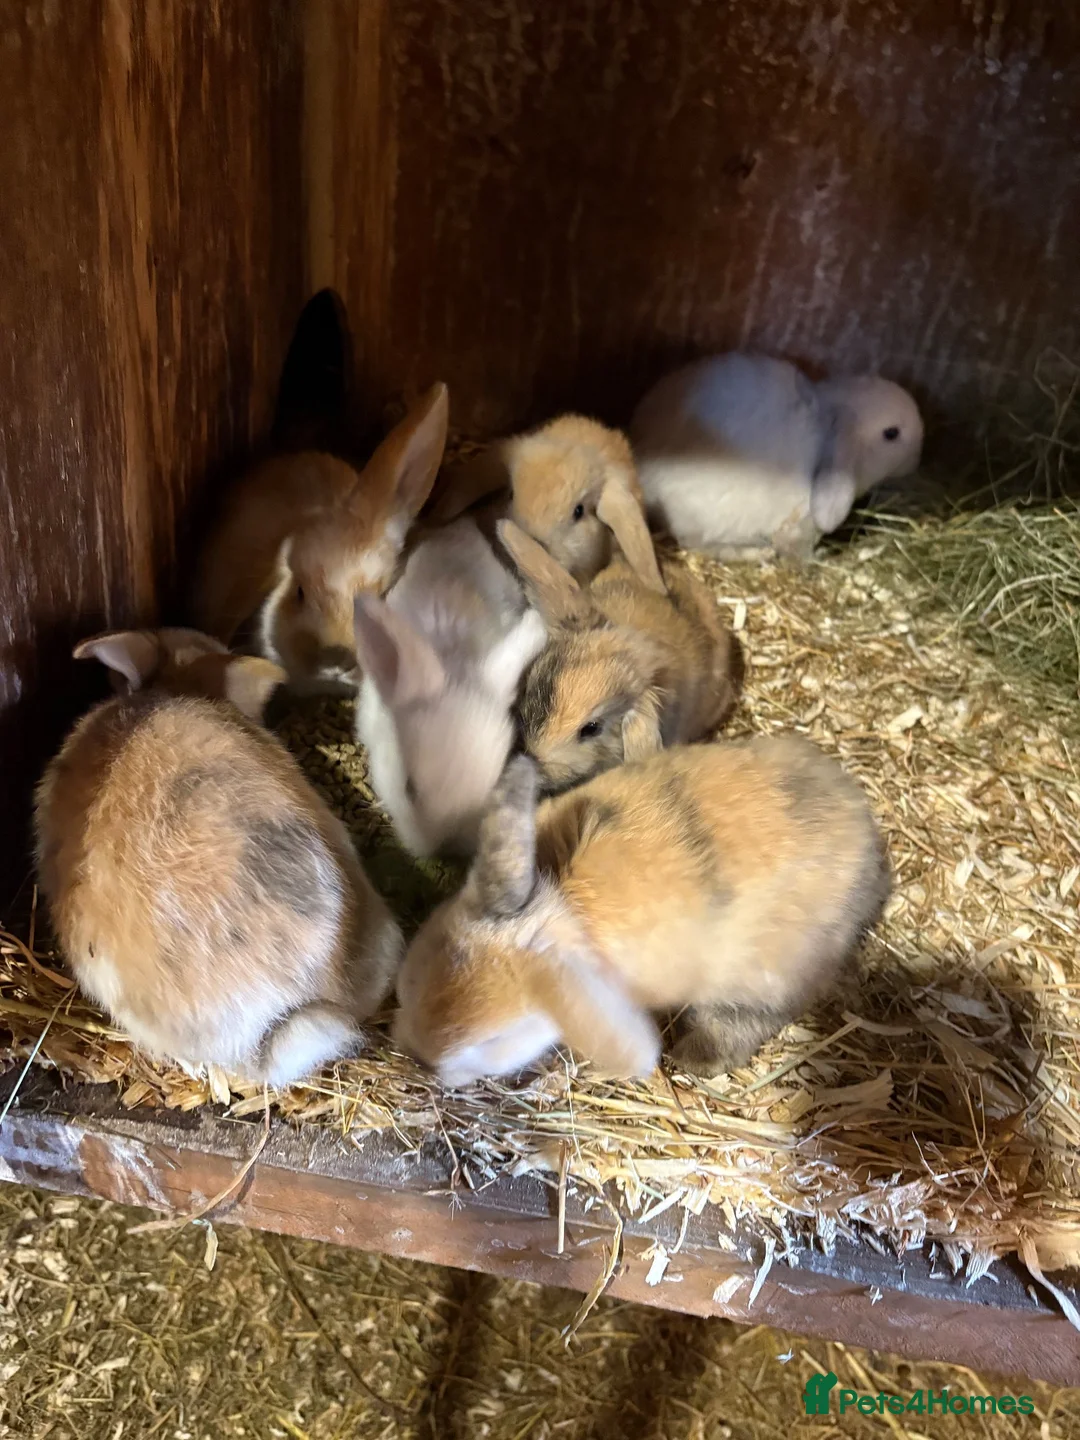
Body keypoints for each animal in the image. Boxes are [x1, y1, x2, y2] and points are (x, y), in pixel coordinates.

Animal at [393, 738, 889, 1087]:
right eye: (408, 980)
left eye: (493, 1042)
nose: (421, 1058)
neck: (564, 902)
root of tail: (869, 843)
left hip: (764, 974)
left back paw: (695, 1058)